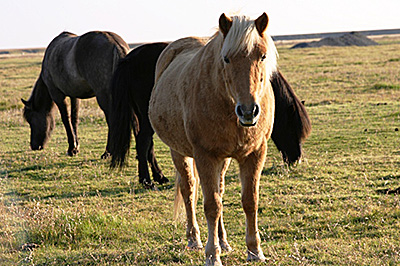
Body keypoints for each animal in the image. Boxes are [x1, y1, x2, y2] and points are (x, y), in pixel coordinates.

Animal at [109, 41, 312, 188]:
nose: (297, 159)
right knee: (144, 141)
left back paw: (159, 177)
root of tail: (130, 58)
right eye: (292, 129)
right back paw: (147, 180)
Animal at [148, 13, 276, 264]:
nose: (248, 111)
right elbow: (211, 205)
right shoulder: (205, 156)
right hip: (180, 153)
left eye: (263, 56)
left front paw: (254, 251)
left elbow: (249, 201)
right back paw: (194, 239)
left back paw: (224, 241)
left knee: (219, 190)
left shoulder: (255, 153)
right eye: (226, 58)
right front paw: (212, 255)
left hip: (223, 159)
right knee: (189, 190)